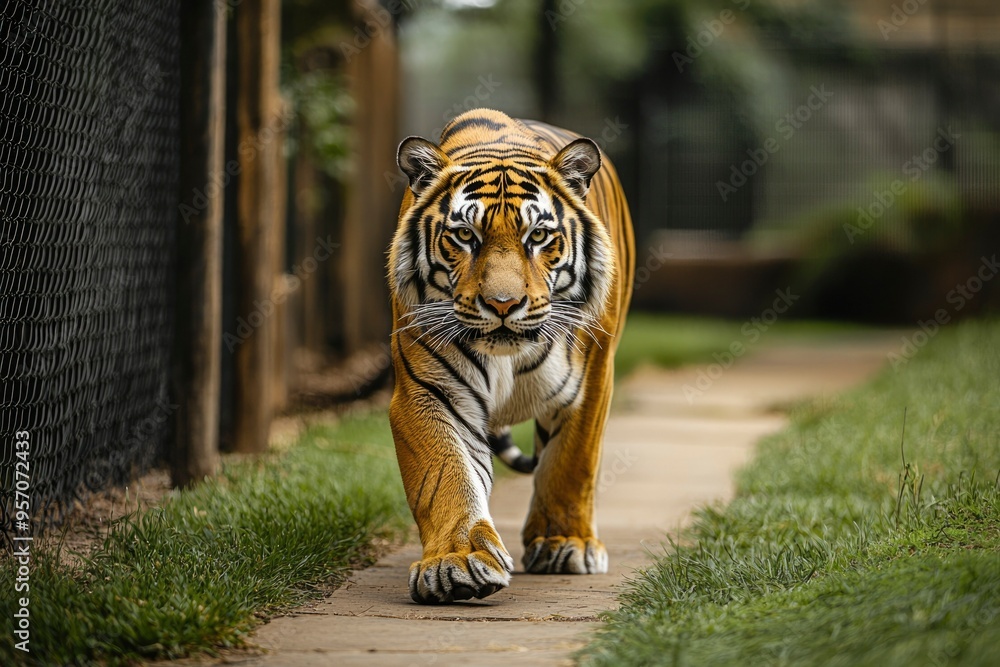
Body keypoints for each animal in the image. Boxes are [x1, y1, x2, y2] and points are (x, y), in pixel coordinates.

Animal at [388, 108, 634, 604]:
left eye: (537, 235)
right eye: (465, 235)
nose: (503, 305)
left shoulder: (591, 381)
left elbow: (572, 462)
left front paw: (566, 544)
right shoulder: (427, 391)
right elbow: (447, 473)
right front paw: (457, 561)